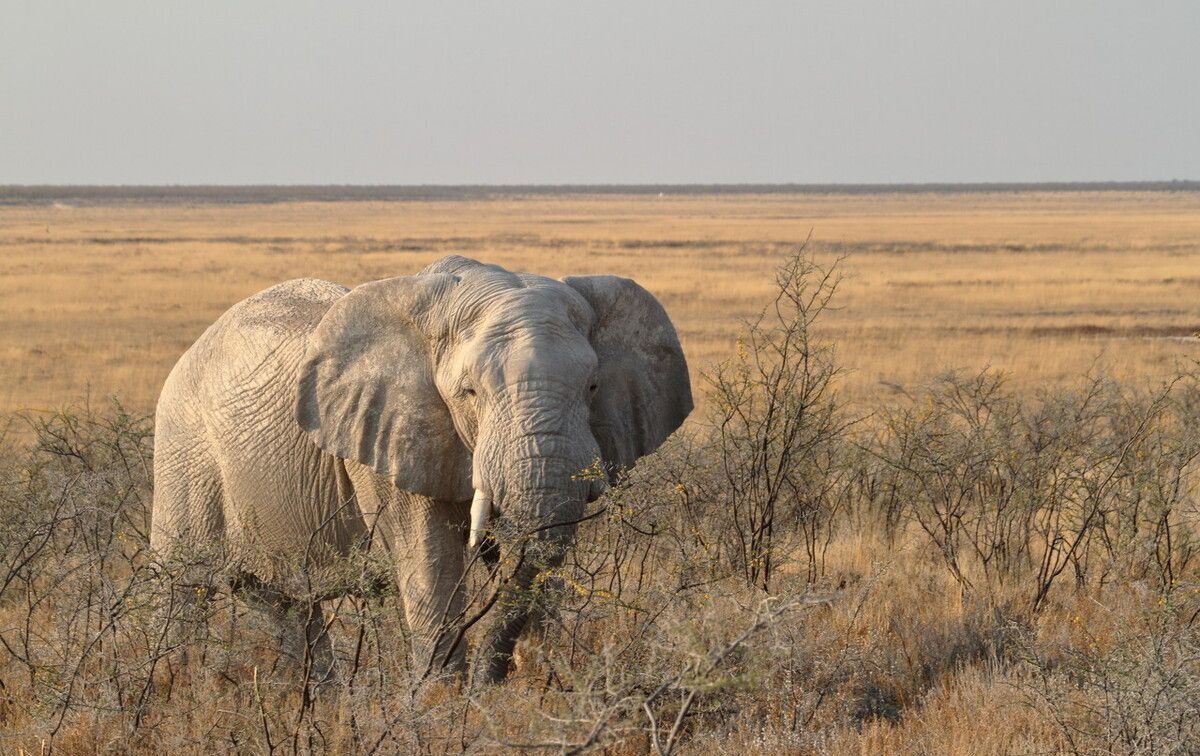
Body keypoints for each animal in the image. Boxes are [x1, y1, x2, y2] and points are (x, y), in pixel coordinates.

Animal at [150, 254, 696, 686]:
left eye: (593, 388)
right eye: (469, 392)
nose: (491, 687)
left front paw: (532, 690)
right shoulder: (389, 434)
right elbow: (430, 558)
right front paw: (444, 703)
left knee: (283, 601)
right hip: (183, 446)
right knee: (183, 583)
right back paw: (172, 690)